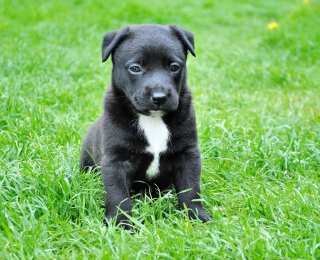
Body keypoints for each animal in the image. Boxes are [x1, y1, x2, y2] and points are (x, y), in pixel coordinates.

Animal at [80, 24, 211, 228]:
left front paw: (196, 215)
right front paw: (121, 224)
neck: (152, 119)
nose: (159, 97)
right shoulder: (116, 160)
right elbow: (118, 195)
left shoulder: (187, 154)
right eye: (135, 68)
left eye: (174, 67)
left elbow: (190, 188)